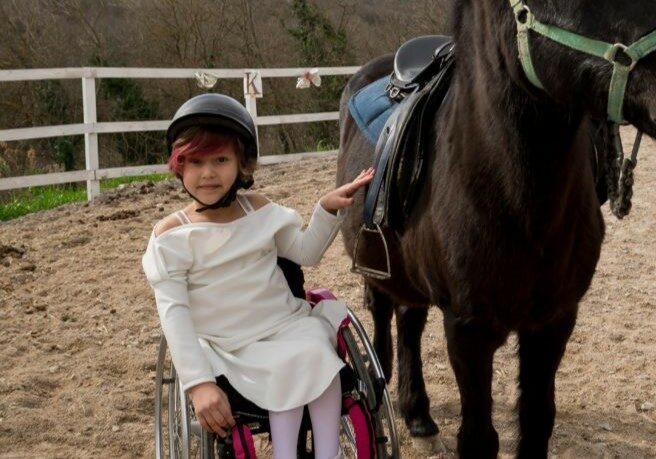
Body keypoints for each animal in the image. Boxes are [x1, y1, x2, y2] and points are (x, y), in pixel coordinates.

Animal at [338, 1, 656, 458]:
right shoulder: (468, 331)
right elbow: (478, 439)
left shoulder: (554, 321)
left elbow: (537, 421)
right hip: (375, 261)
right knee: (383, 313)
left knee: (410, 320)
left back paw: (418, 414)